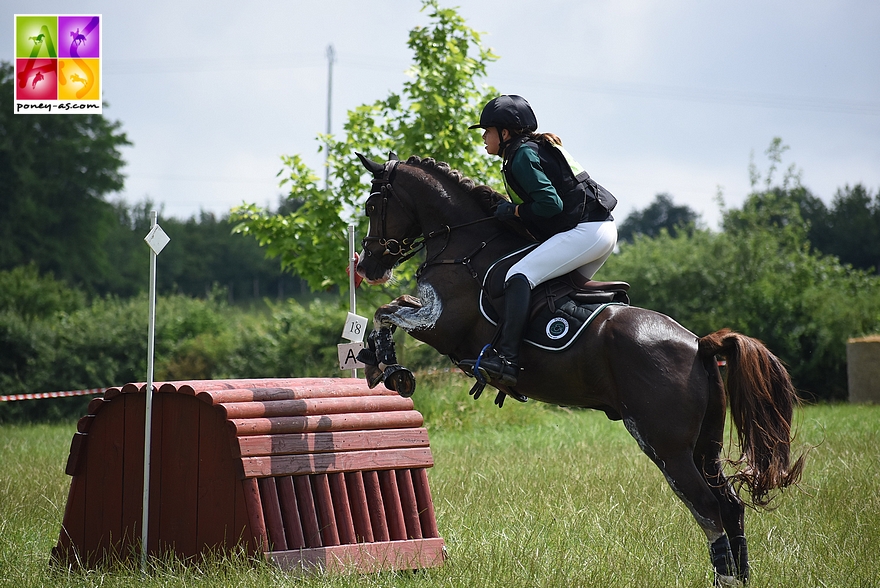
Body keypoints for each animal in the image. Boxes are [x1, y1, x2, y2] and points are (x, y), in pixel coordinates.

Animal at [354, 152, 808, 584]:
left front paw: (386, 366)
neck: (465, 245)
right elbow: (390, 309)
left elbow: (387, 311)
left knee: (708, 508)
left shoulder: (442, 325)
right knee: (730, 506)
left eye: (373, 205)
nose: (365, 266)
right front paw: (375, 361)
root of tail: (699, 344)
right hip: (704, 446)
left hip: (665, 444)